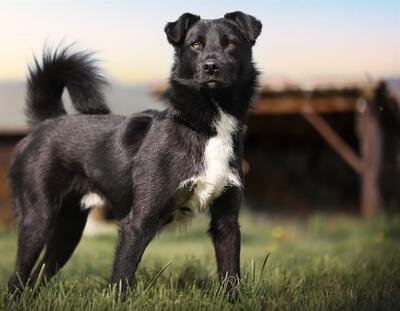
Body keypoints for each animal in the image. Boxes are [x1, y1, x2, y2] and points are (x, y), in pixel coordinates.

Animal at [7, 11, 260, 294]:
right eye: (195, 44)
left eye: (231, 43)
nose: (211, 66)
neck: (205, 126)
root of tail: (48, 121)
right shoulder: (137, 223)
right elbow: (122, 278)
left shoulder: (227, 223)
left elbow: (231, 274)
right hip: (37, 220)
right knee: (16, 278)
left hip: (68, 231)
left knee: (36, 276)